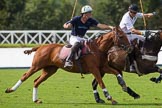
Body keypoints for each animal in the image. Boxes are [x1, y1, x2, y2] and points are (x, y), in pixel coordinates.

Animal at [5, 26, 139, 104]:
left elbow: (116, 73)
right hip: (36, 66)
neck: (98, 49)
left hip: (50, 70)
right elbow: (101, 82)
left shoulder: (103, 67)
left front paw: (123, 84)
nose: (130, 48)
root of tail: (40, 46)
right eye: (121, 36)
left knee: (36, 81)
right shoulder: (94, 69)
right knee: (25, 76)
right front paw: (110, 97)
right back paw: (10, 90)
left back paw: (36, 100)